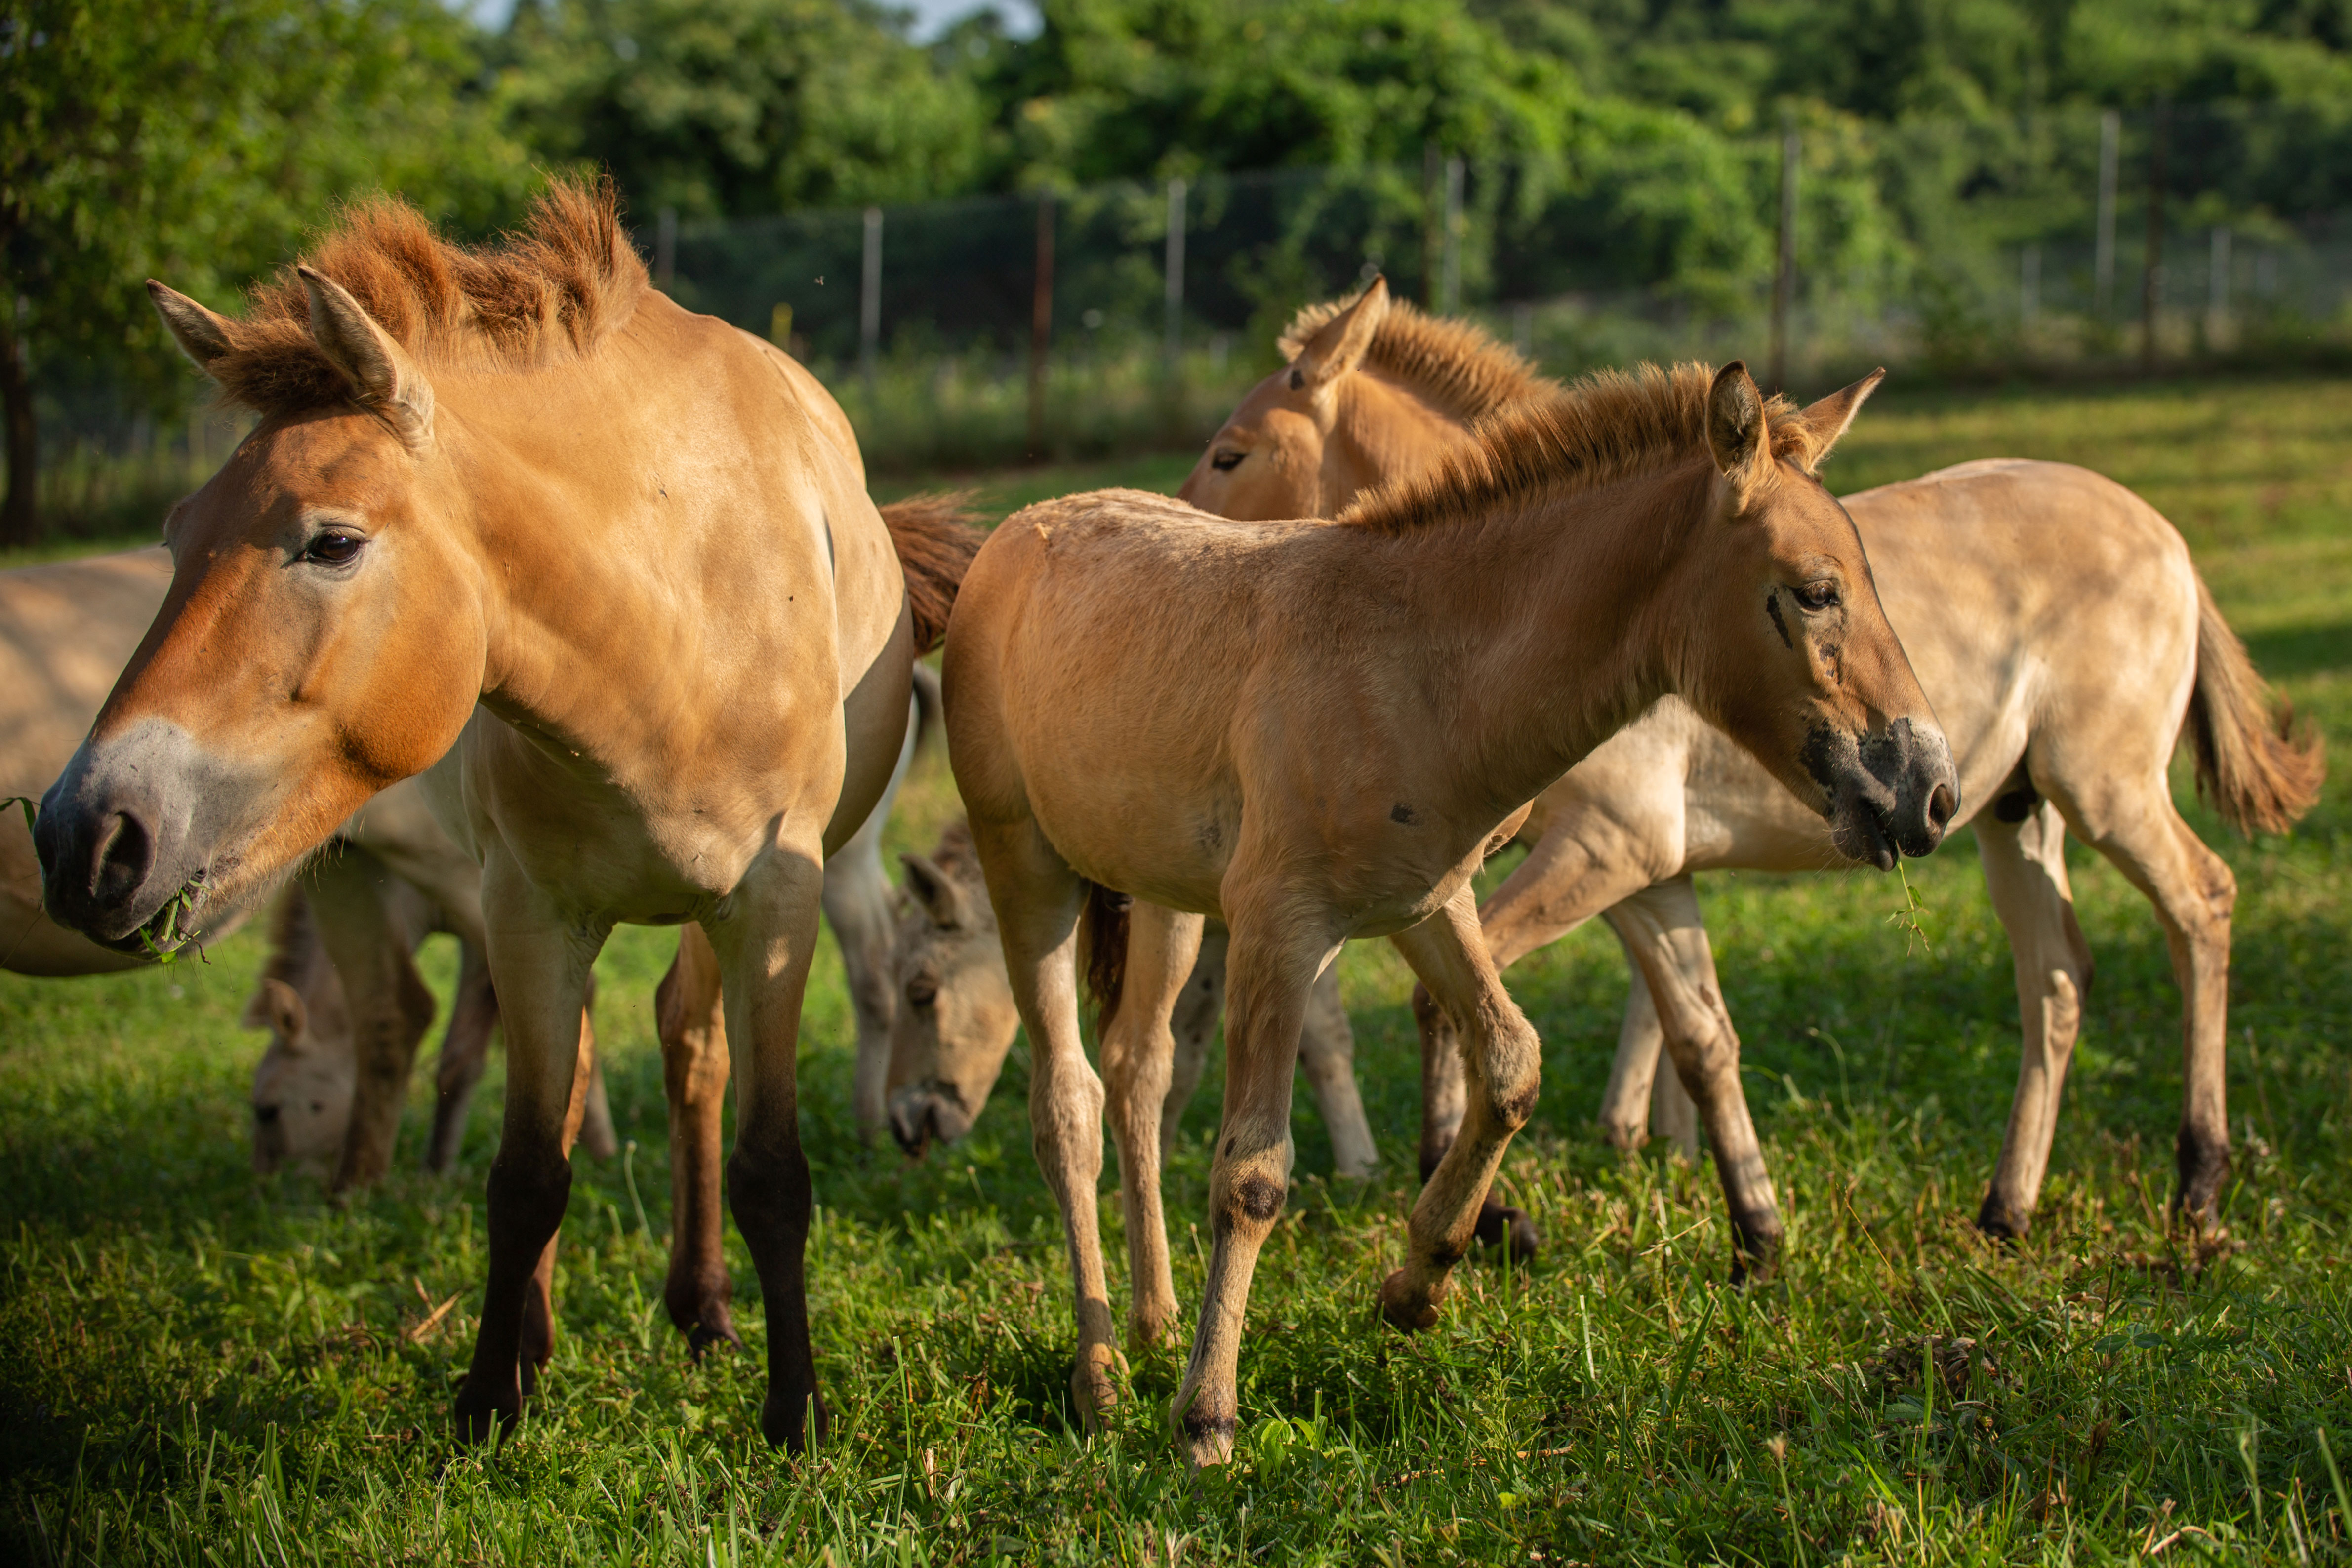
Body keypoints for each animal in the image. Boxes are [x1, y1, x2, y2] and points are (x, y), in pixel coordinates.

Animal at [1185, 279, 2323, 1241]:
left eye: (1230, 453)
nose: (1193, 547)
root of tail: (2166, 535)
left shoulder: (1604, 850)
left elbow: (1451, 1007)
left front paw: (1484, 1206)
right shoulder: (1644, 872)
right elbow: (1694, 1035)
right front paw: (1732, 1217)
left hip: (2106, 790)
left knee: (2201, 903)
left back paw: (2197, 1184)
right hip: (2015, 812)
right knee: (2054, 980)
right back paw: (2006, 1209)